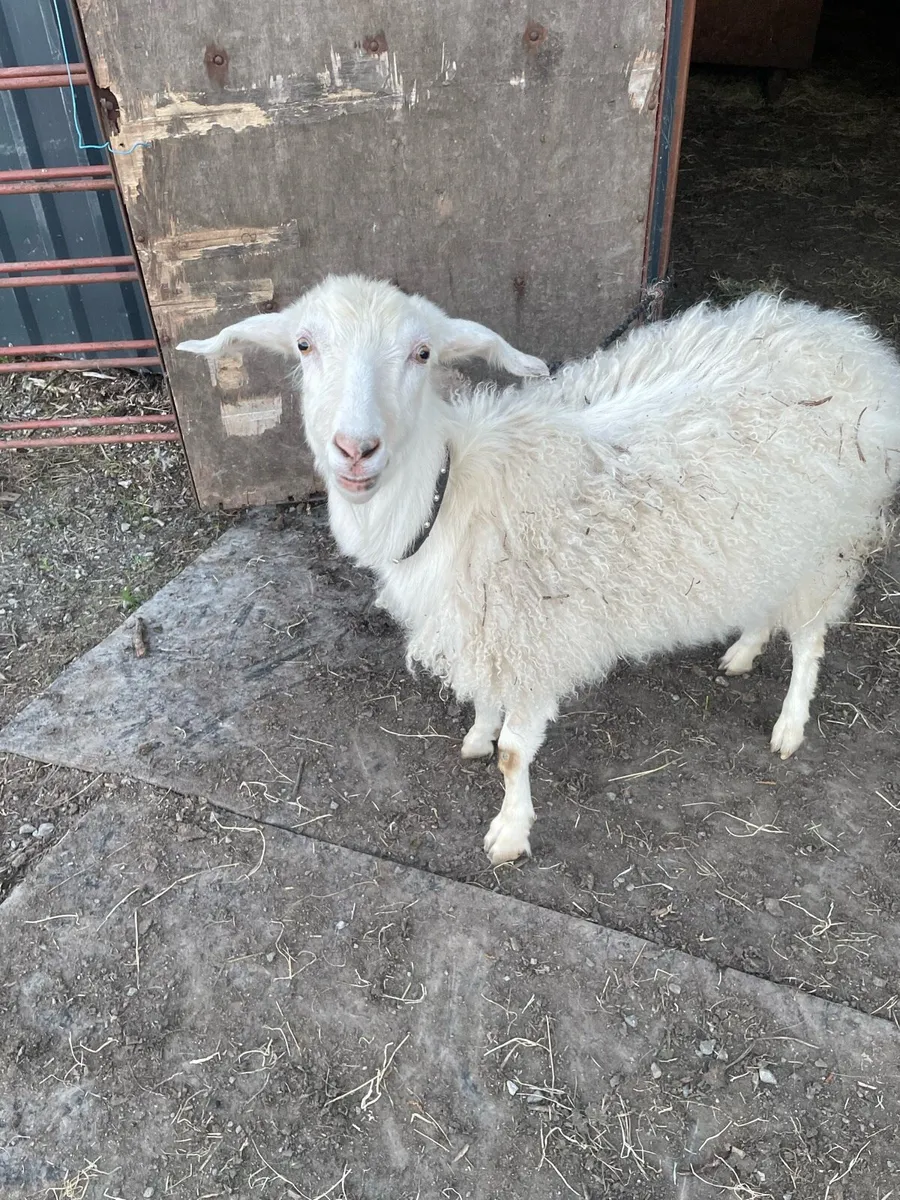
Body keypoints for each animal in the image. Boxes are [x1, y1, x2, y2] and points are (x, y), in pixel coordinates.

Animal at [178, 275, 900, 864]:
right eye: (303, 345)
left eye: (423, 353)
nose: (356, 449)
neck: (453, 493)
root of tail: (852, 340)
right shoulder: (489, 626)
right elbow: (484, 703)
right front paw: (477, 731)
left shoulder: (534, 635)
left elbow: (513, 754)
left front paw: (509, 832)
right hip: (770, 539)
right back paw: (744, 649)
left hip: (829, 541)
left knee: (809, 639)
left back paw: (789, 725)